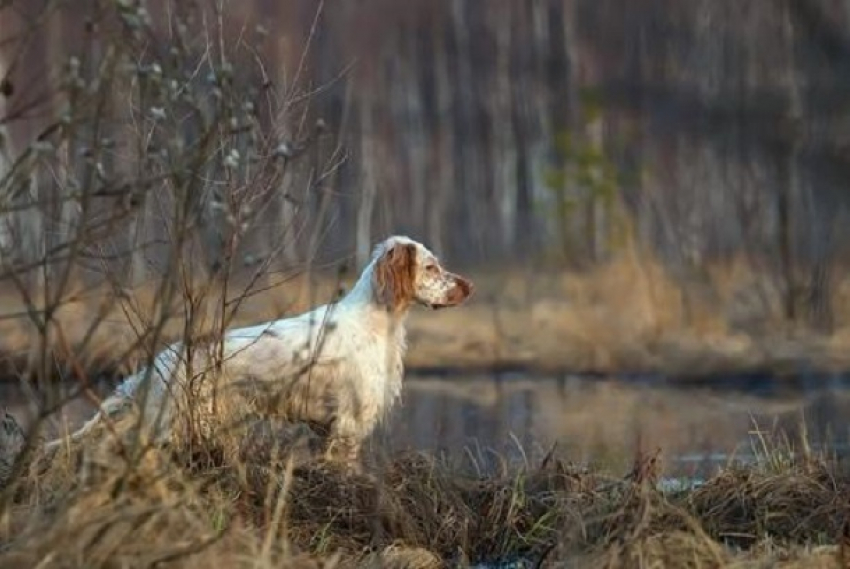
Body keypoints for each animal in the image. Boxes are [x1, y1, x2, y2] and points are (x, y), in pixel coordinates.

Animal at [43, 235, 474, 466]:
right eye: (432, 267)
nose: (468, 287)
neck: (378, 319)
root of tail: (161, 360)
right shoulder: (350, 422)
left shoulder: (330, 426)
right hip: (175, 421)